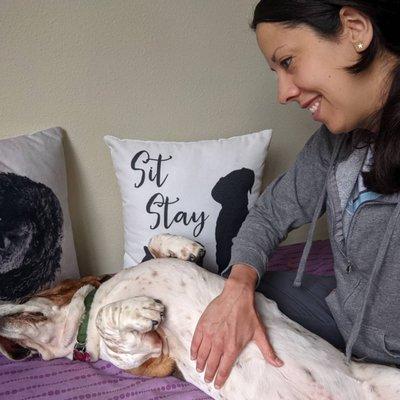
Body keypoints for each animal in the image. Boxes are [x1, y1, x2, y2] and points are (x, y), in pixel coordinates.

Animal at [0, 234, 400, 400]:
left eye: (27, 295)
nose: (10, 351)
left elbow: (158, 241)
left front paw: (182, 245)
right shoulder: (151, 351)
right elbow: (109, 320)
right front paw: (141, 308)